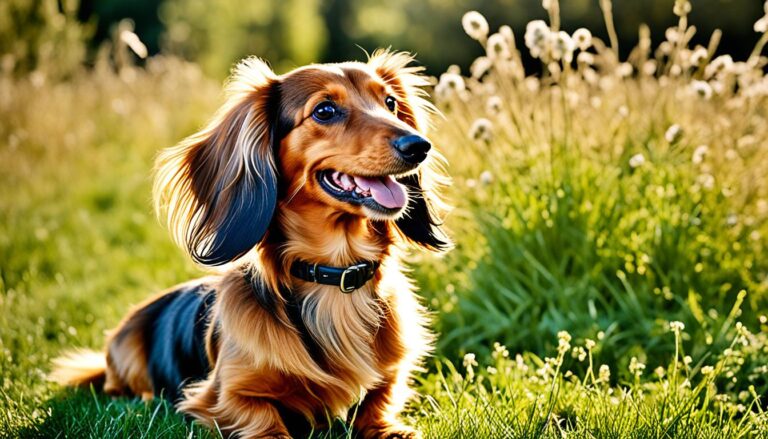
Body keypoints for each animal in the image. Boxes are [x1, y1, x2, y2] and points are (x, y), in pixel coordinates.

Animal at [51, 49, 450, 438]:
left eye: (390, 102)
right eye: (325, 110)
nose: (419, 146)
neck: (335, 278)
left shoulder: (392, 375)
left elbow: (378, 401)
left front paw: (387, 428)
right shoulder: (224, 396)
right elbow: (263, 421)